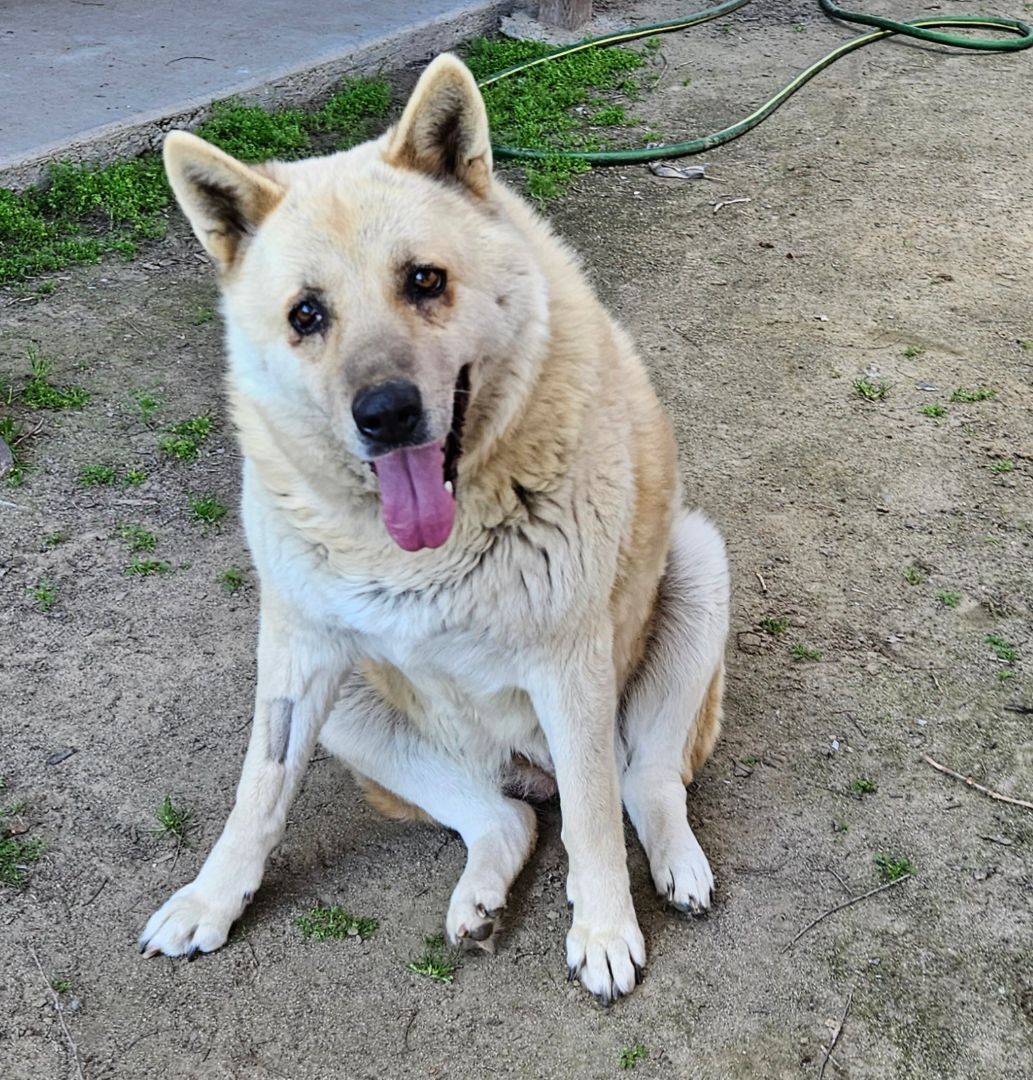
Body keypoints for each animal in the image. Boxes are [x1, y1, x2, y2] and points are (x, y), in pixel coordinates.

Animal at [141, 52, 730, 1002]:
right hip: (354, 705)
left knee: (639, 783)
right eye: (306, 314)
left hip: (697, 571)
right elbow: (257, 795)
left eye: (423, 279)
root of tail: (525, 769)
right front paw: (210, 900)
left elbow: (595, 824)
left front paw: (603, 929)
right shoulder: (295, 651)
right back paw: (482, 895)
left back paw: (673, 867)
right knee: (504, 821)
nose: (384, 415)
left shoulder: (570, 665)